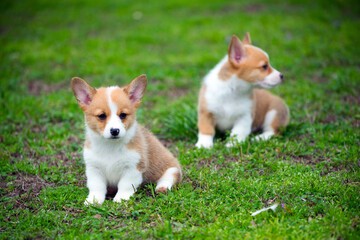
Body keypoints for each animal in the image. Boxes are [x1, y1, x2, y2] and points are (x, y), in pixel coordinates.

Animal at [71, 74, 181, 204]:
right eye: (102, 116)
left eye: (123, 115)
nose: (115, 131)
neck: (110, 146)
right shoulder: (94, 168)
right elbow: (96, 186)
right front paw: (93, 200)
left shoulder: (133, 168)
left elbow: (125, 185)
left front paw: (121, 198)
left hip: (171, 168)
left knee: (169, 177)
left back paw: (162, 187)